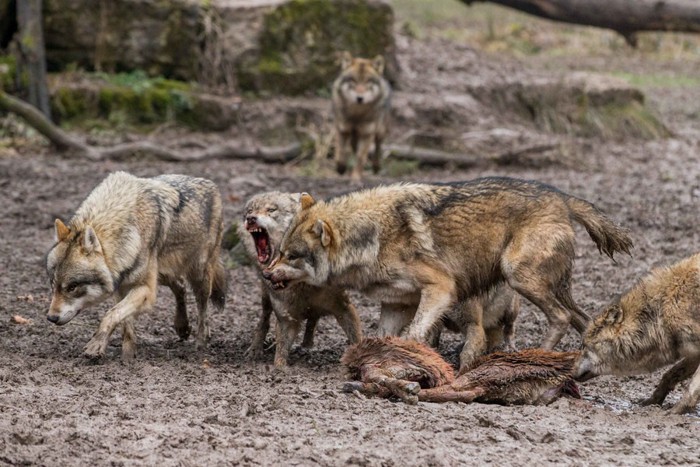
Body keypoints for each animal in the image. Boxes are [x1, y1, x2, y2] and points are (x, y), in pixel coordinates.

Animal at [45, 172, 227, 362]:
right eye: (53, 285)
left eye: (72, 287)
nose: (51, 317)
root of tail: (211, 184)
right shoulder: (121, 287)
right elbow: (124, 321)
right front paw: (128, 355)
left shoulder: (145, 289)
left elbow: (110, 314)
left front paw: (96, 346)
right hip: (162, 274)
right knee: (180, 286)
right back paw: (182, 326)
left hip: (198, 274)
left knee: (202, 307)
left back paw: (201, 342)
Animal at [239, 192, 360, 368]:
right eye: (249, 211)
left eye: (271, 210)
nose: (250, 218)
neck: (303, 283)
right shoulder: (286, 319)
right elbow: (280, 355)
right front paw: (279, 369)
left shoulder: (344, 308)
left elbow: (357, 339)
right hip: (266, 299)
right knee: (264, 320)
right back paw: (256, 349)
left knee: (313, 319)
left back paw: (307, 344)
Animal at [264, 177, 636, 352]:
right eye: (280, 252)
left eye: (292, 255)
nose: (266, 274)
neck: (373, 236)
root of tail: (561, 197)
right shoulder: (396, 304)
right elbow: (383, 335)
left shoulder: (441, 289)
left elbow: (416, 333)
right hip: (550, 287)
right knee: (583, 319)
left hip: (518, 276)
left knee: (561, 318)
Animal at [332, 51, 392, 183]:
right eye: (353, 81)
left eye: (368, 81)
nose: (359, 98)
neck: (357, 115)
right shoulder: (342, 130)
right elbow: (341, 153)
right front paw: (341, 169)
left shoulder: (367, 134)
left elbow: (360, 157)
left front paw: (355, 178)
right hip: (354, 136)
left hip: (380, 132)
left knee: (377, 148)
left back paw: (376, 167)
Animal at [576, 254, 700, 414]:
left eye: (584, 346)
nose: (570, 369)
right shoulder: (693, 354)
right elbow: (669, 374)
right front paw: (652, 402)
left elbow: (692, 388)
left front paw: (675, 411)